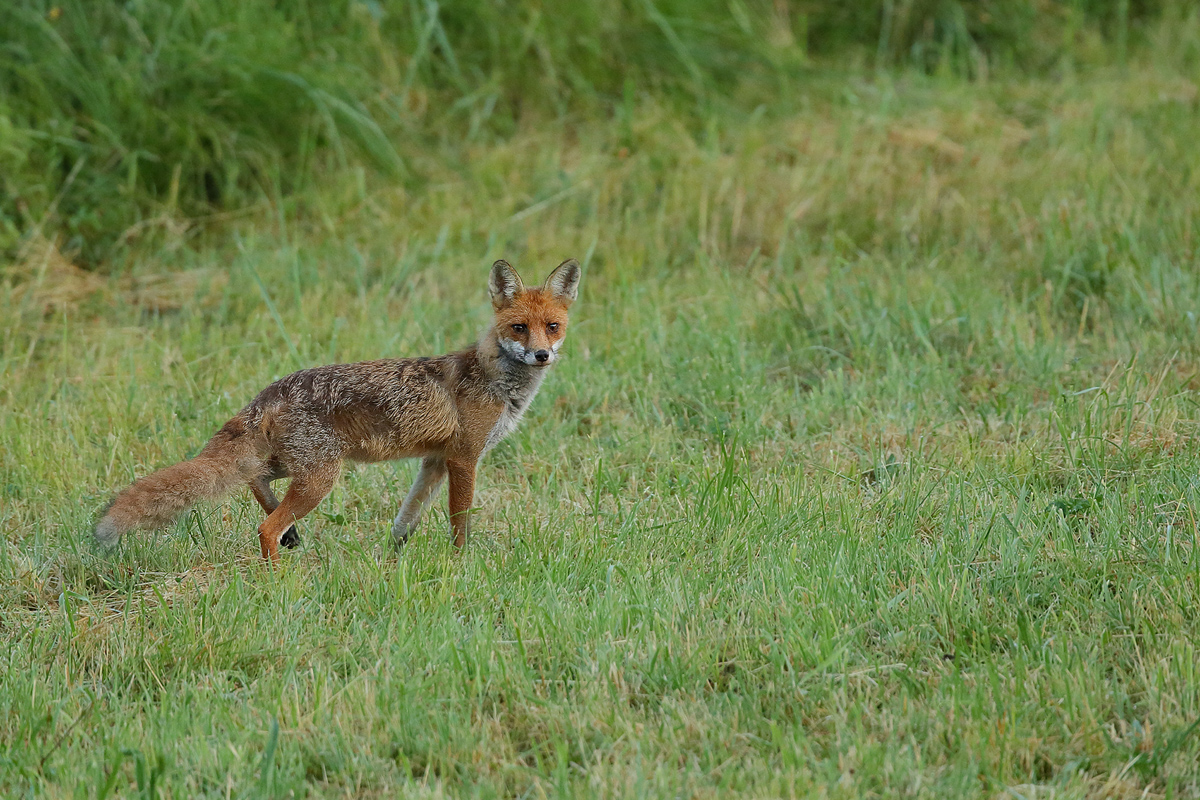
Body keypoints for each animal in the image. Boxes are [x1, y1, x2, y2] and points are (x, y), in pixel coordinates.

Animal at [93, 260, 580, 561]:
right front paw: (462, 565)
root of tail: (270, 391)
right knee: (264, 528)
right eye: (519, 327)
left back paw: (289, 537)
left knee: (254, 483)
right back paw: (279, 579)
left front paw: (392, 559)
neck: (493, 380)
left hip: (293, 465)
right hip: (321, 477)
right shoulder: (464, 458)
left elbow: (405, 520)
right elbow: (460, 522)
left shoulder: (435, 460)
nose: (542, 355)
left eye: (552, 327)